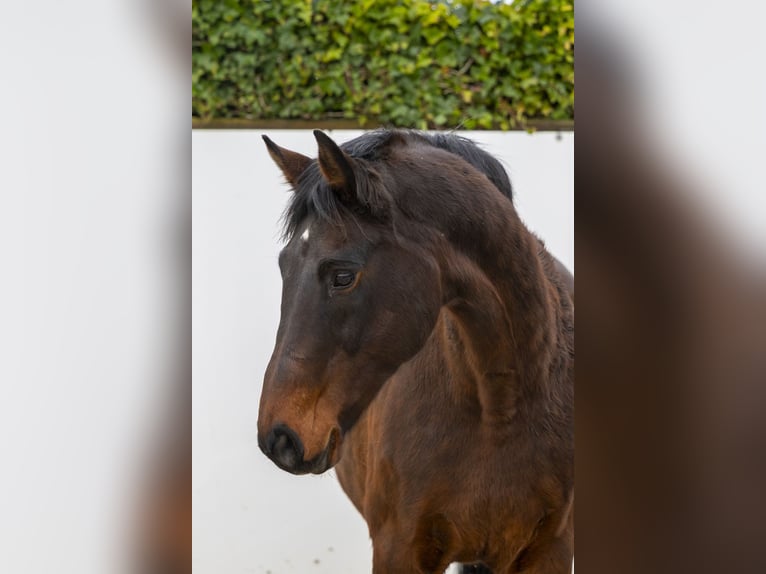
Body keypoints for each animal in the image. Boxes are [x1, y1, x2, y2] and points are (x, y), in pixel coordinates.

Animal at [257, 129, 574, 573]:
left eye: (343, 276)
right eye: (284, 267)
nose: (279, 438)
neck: (499, 413)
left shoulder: (551, 550)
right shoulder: (399, 548)